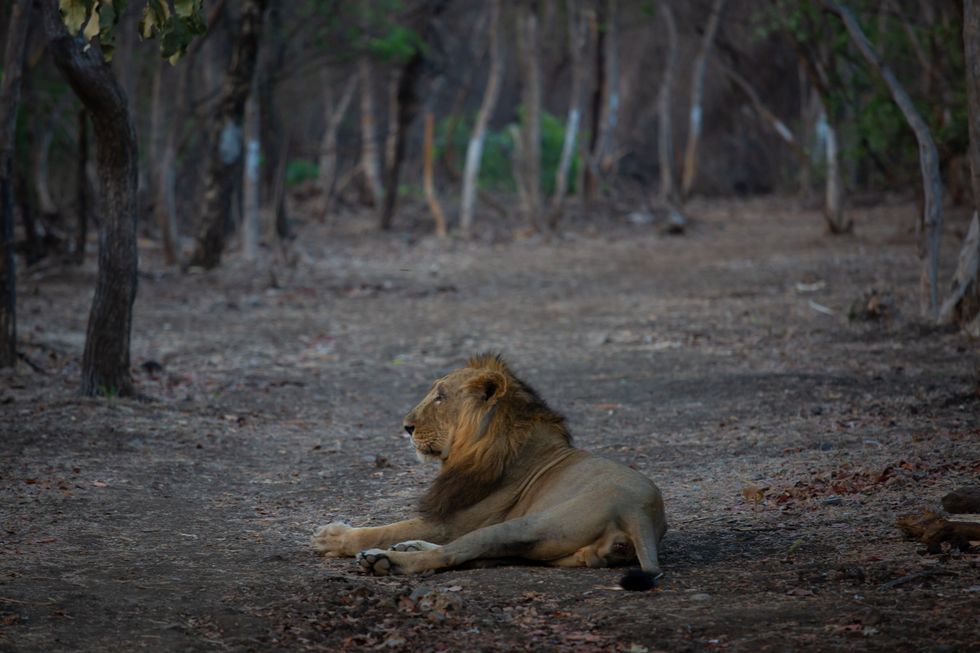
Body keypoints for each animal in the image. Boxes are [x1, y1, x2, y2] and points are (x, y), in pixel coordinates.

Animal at [311, 353, 667, 589]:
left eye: (440, 397)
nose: (406, 427)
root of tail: (640, 512)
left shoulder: (453, 521)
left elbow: (387, 529)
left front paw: (333, 537)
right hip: (548, 550)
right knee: (473, 555)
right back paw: (407, 549)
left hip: (524, 525)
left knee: (450, 555)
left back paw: (384, 560)